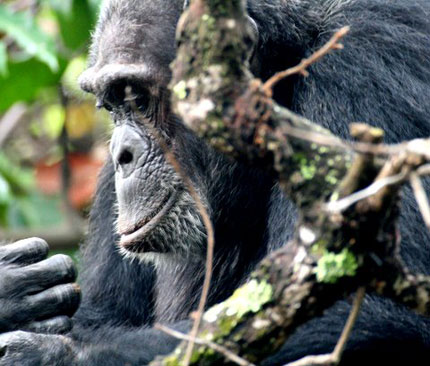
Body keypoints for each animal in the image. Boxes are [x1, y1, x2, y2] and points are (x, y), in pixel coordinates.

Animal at [0, 0, 430, 364]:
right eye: (113, 105)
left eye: (137, 97)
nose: (122, 153)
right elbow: (103, 311)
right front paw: (10, 294)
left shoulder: (366, 71)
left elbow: (366, 306)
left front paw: (47, 354)